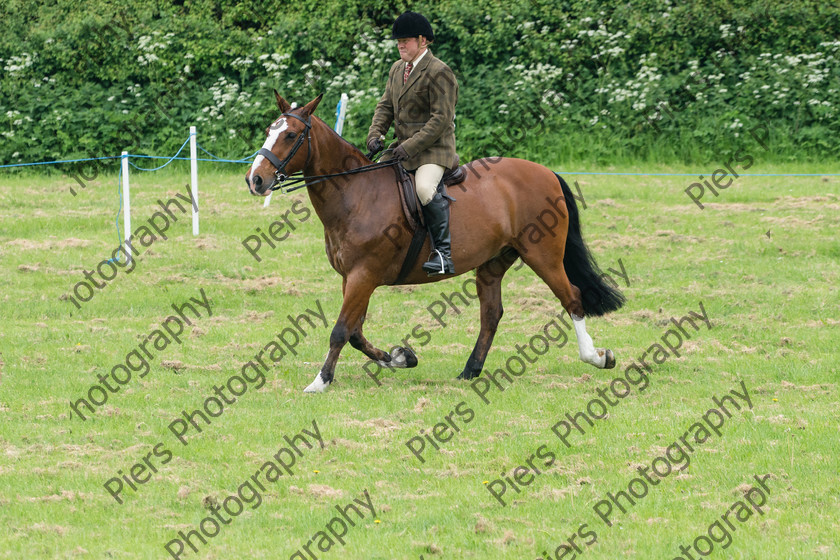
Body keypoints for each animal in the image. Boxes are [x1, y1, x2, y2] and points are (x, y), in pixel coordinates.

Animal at [243, 92, 624, 392]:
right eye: (270, 131)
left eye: (291, 135)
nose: (255, 180)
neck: (356, 193)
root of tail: (546, 172)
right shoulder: (352, 278)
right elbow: (355, 332)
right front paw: (400, 357)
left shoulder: (363, 275)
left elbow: (340, 330)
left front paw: (320, 382)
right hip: (493, 263)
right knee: (491, 314)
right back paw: (470, 372)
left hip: (542, 255)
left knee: (571, 298)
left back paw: (597, 357)